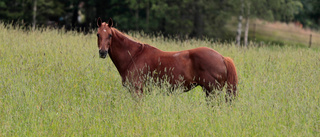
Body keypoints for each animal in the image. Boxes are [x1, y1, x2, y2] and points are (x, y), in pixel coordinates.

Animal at [96, 17, 239, 100]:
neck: (134, 56)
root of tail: (222, 58)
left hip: (212, 91)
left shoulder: (137, 91)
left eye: (110, 35)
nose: (102, 52)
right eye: (98, 34)